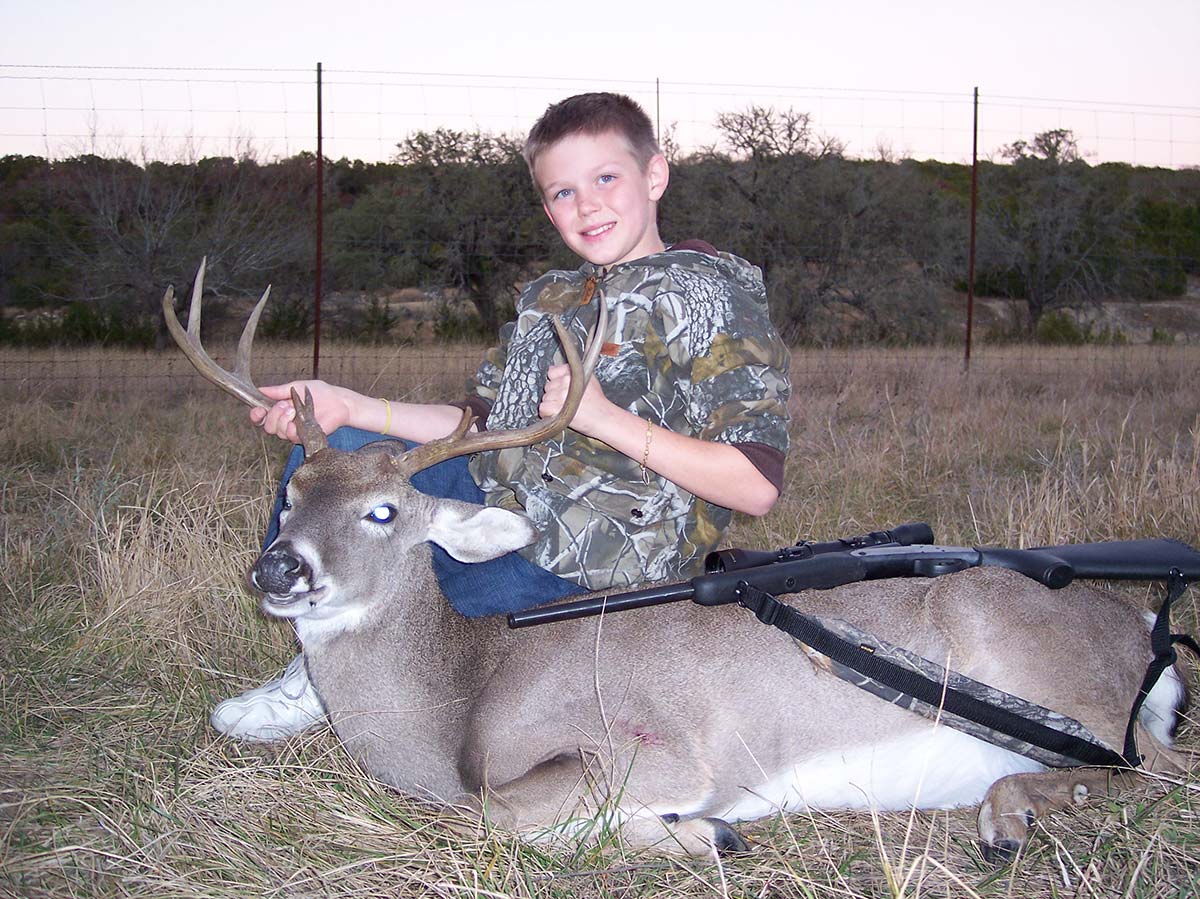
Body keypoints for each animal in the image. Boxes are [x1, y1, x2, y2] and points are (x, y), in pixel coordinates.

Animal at [163, 264, 1190, 861]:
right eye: (292, 495)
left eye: (384, 512)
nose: (279, 571)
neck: (461, 698)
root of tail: (1143, 625)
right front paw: (700, 836)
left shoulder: (651, 745)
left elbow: (499, 819)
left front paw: (703, 832)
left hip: (1047, 672)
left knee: (1158, 774)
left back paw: (1009, 815)